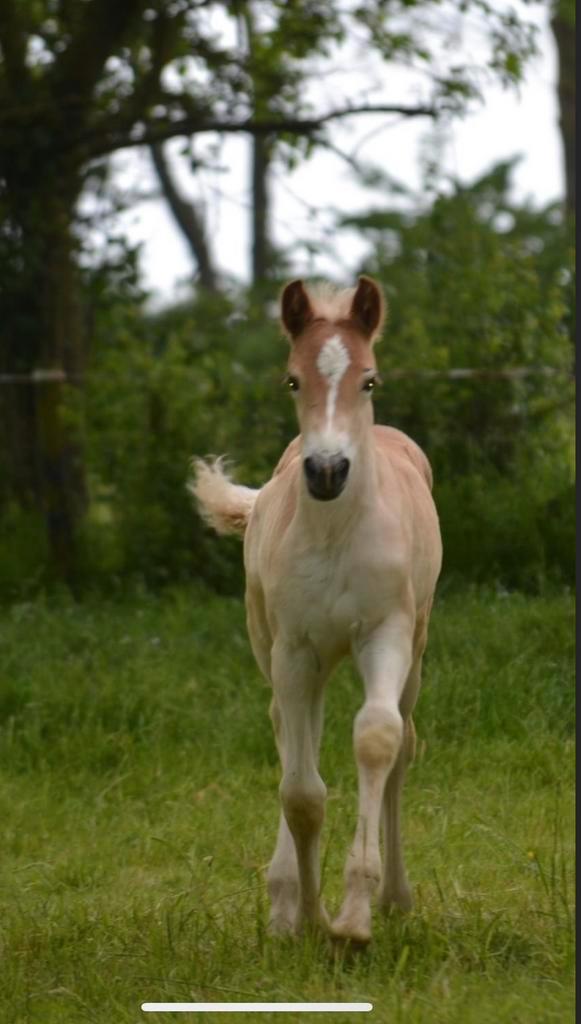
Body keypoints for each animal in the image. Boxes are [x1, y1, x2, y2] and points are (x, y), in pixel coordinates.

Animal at [191, 276, 442, 945]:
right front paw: (306, 917)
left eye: (370, 380)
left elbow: (377, 738)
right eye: (292, 380)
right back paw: (283, 901)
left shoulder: (386, 633)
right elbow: (301, 791)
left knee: (402, 743)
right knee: (289, 729)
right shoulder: (295, 649)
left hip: (415, 648)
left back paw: (397, 897)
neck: (335, 532)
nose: (327, 471)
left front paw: (353, 920)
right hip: (281, 649)